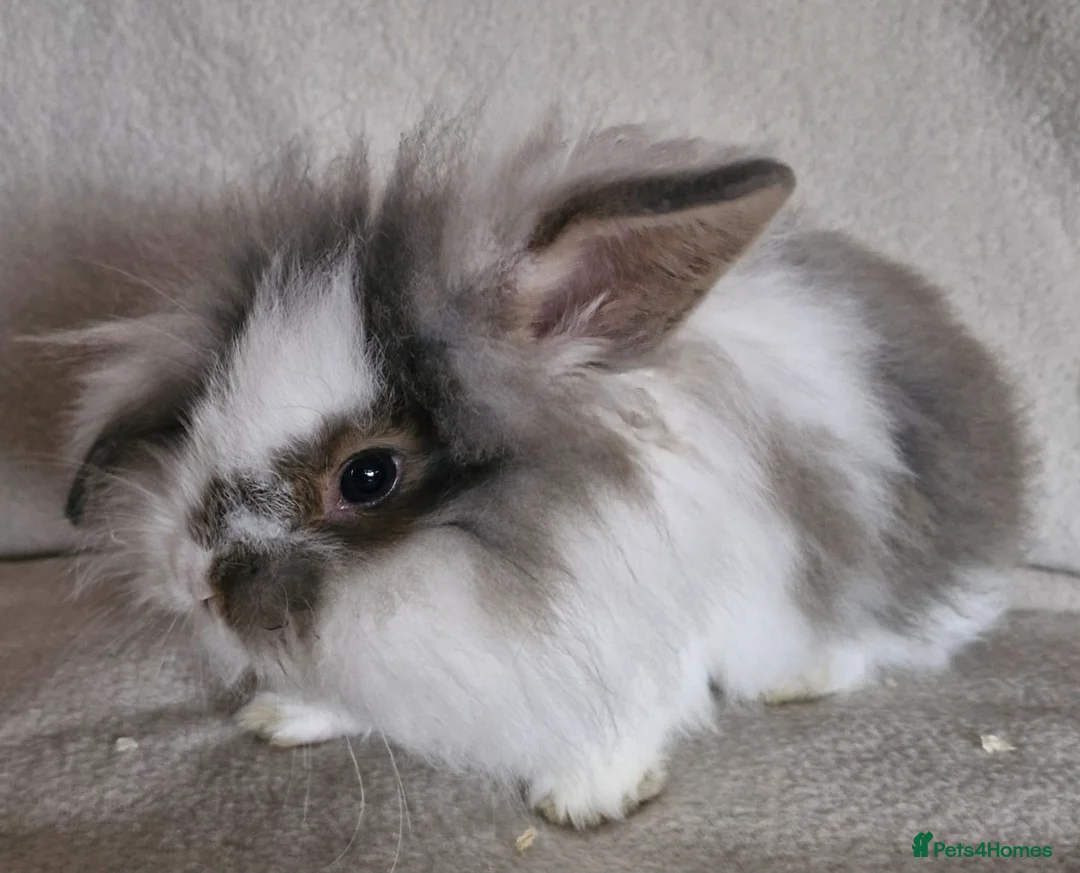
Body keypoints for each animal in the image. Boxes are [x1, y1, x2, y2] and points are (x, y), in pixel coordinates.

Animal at [60, 117, 1032, 829]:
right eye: (203, 412)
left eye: (368, 476)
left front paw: (586, 798)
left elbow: (636, 708)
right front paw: (285, 714)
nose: (192, 580)